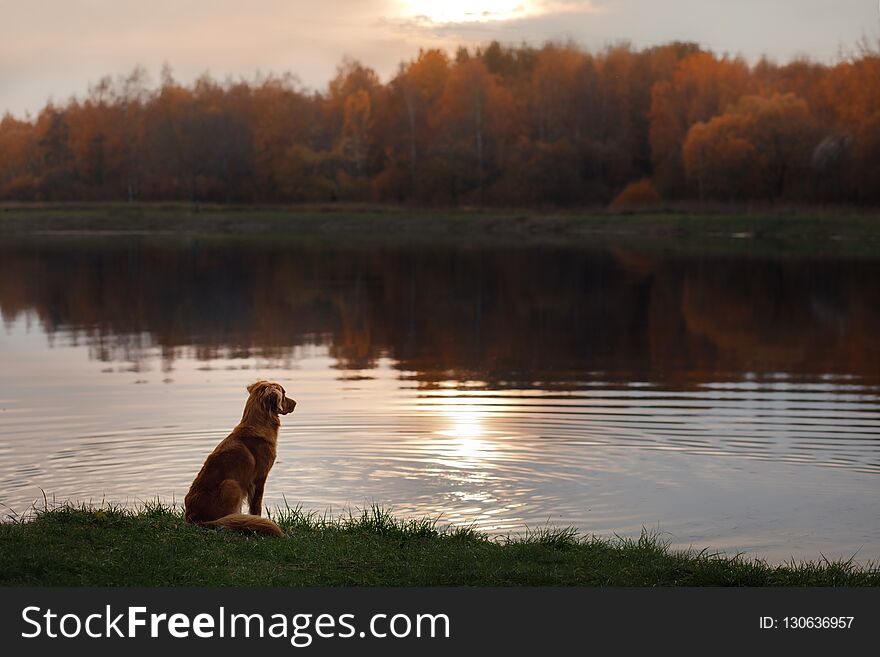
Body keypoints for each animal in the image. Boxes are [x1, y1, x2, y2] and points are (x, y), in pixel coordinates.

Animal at [184, 382, 298, 536]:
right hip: (231, 484)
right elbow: (256, 507)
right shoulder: (259, 479)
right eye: (284, 394)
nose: (296, 403)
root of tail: (193, 518)